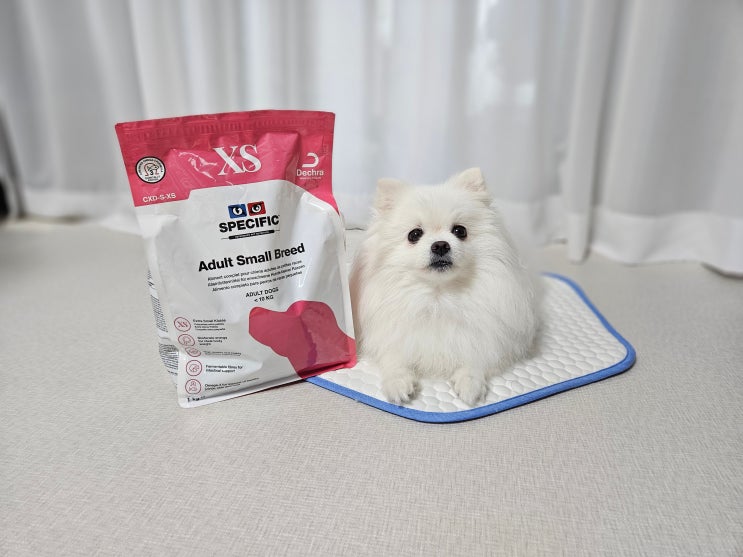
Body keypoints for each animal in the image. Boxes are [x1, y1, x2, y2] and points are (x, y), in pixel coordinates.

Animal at [350, 168, 539, 406]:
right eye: (414, 234)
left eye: (460, 231)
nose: (440, 245)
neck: (438, 297)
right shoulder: (391, 332)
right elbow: (393, 357)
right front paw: (398, 382)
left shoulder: (487, 334)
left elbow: (477, 355)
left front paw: (470, 382)